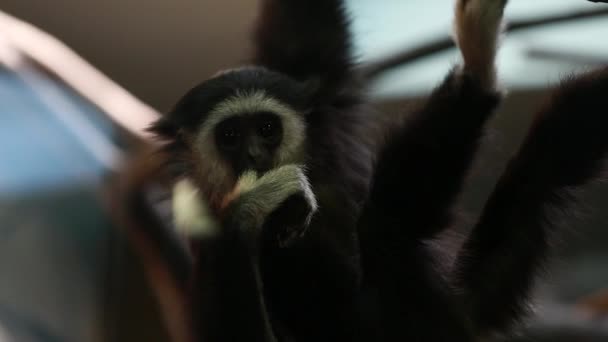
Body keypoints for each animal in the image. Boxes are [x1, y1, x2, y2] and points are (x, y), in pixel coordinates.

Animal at [114, 0, 608, 340]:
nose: (254, 154)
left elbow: (304, 31)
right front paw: (252, 207)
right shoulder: (201, 232)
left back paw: (478, 70)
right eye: (231, 136)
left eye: (267, 128)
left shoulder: (323, 104)